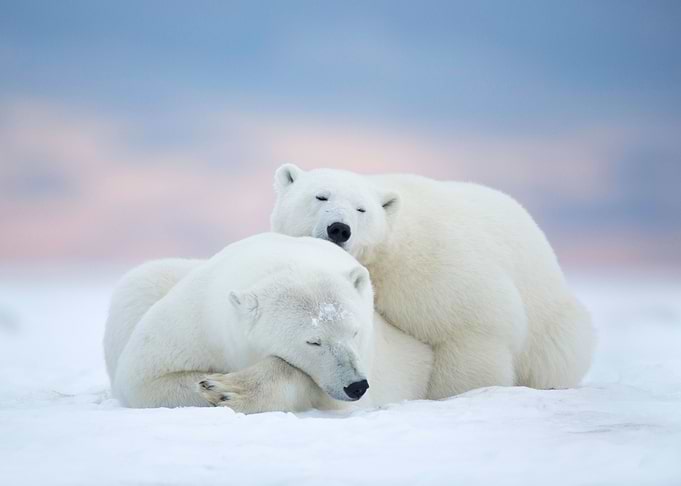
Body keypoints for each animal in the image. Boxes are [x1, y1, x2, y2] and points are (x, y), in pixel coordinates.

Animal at [104, 233, 432, 412]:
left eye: (355, 332)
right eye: (313, 341)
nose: (356, 385)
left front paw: (228, 389)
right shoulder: (196, 321)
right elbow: (146, 378)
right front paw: (212, 385)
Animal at [270, 165, 595, 399]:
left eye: (361, 209)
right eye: (320, 196)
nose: (339, 228)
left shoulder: (435, 270)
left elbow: (471, 329)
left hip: (551, 323)